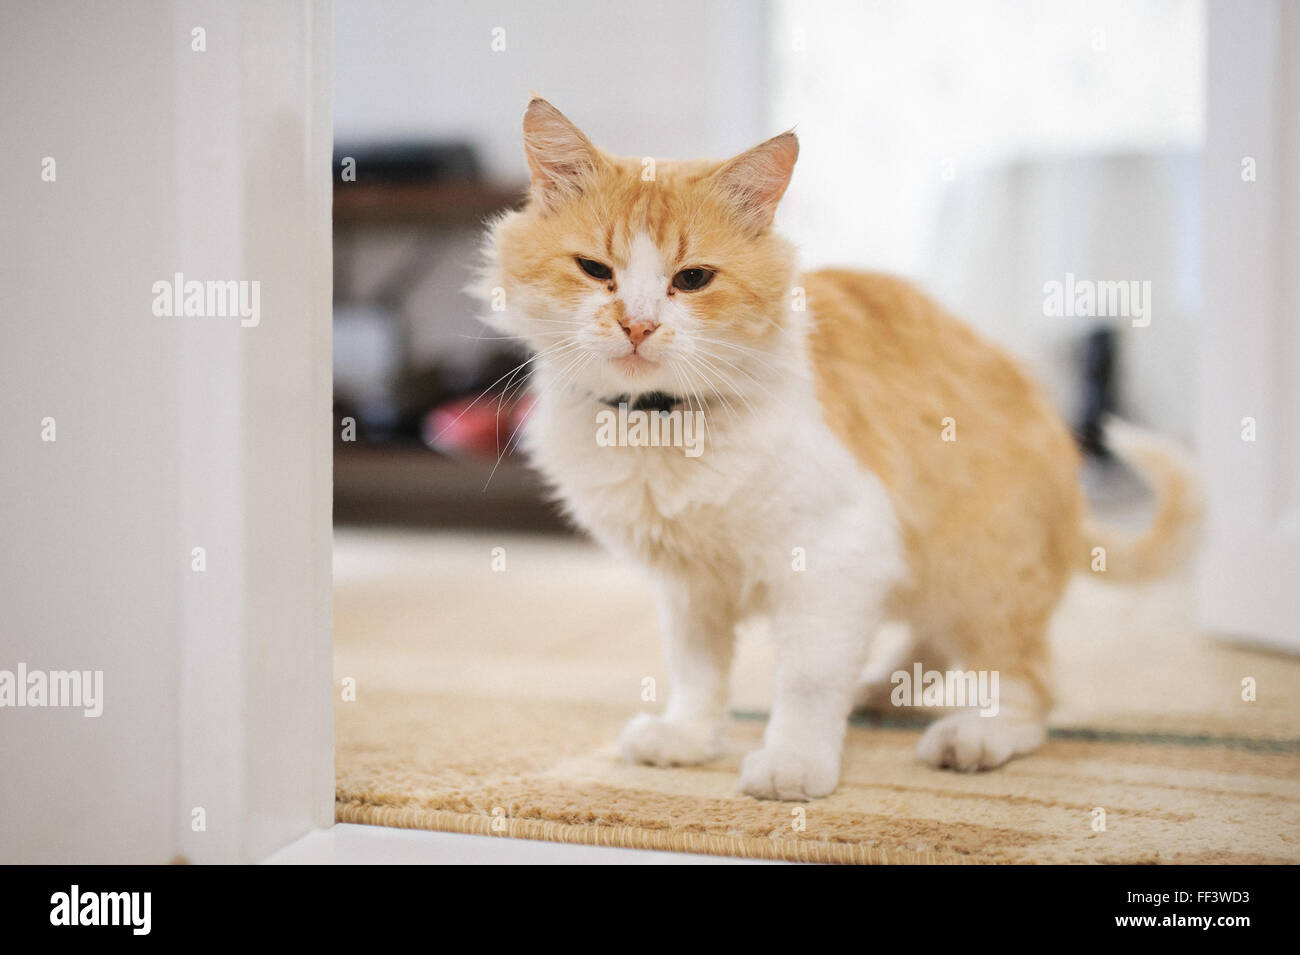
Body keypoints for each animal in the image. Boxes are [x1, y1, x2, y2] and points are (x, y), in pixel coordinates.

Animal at [478, 97, 1196, 800]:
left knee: (1029, 686)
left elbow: (806, 680)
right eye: (595, 270)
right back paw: (881, 690)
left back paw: (974, 734)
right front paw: (689, 736)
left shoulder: (835, 557)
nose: (638, 324)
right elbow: (696, 669)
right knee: (936, 644)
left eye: (694, 278)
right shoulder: (689, 583)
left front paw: (793, 762)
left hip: (982, 573)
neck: (663, 425)